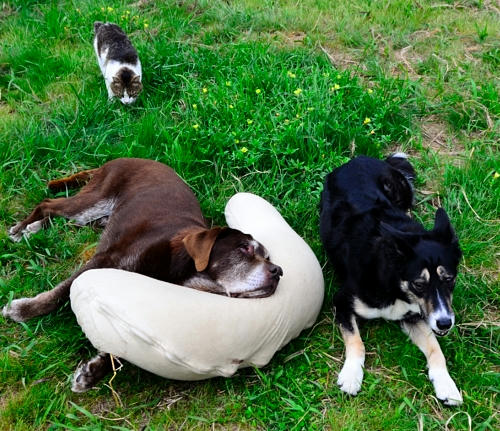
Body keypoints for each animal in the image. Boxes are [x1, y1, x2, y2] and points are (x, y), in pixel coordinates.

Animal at [3, 158, 283, 392]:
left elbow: (124, 343)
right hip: (92, 202)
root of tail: (123, 157)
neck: (180, 271)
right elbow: (60, 293)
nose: (278, 271)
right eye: (244, 248)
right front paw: (22, 310)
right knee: (48, 205)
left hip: (93, 216)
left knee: (62, 216)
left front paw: (95, 370)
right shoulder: (103, 261)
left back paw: (33, 228)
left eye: (268, 256)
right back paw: (22, 228)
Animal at [319, 154, 463, 405]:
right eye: (419, 284)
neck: (393, 282)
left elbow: (436, 349)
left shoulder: (415, 316)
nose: (445, 323)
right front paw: (351, 376)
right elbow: (356, 342)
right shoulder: (341, 301)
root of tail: (358, 159)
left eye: (449, 279)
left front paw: (446, 385)